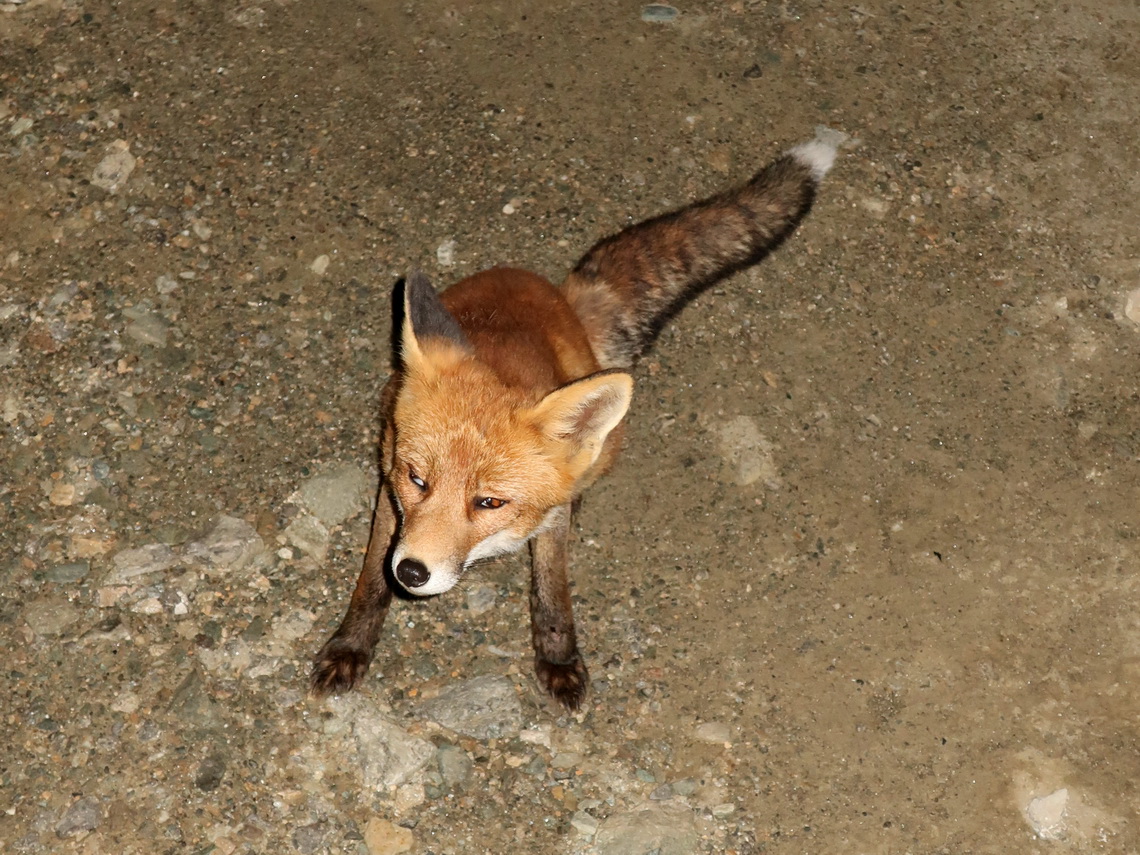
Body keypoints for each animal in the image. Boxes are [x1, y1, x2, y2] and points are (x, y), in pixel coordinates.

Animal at [307, 128, 843, 711]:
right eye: (417, 479)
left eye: (489, 502)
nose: (412, 571)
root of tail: (564, 298)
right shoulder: (389, 491)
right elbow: (369, 582)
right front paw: (351, 645)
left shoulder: (551, 520)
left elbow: (551, 587)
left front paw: (558, 656)